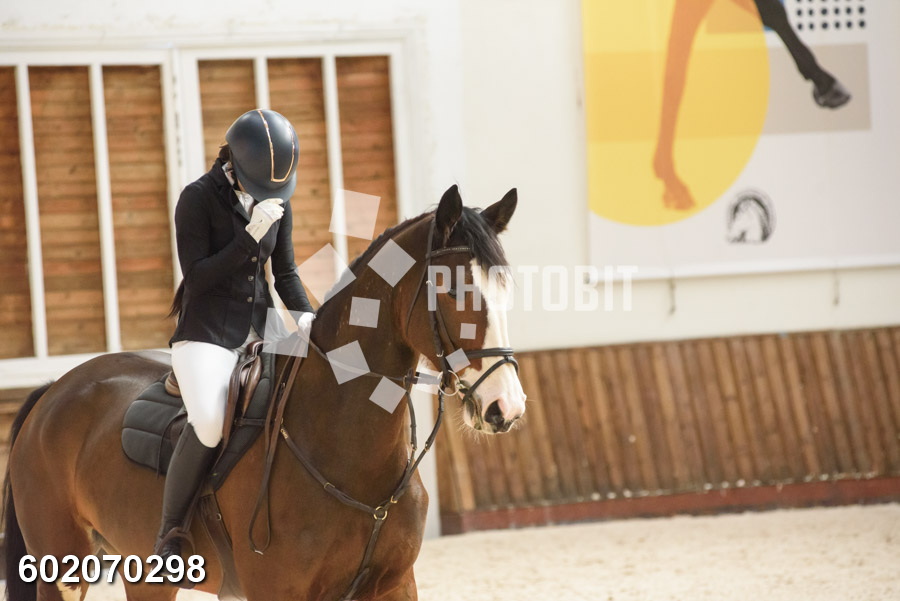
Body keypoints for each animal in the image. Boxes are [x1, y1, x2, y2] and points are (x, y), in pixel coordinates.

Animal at [3, 184, 526, 601]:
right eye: (452, 290)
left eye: (505, 289)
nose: (507, 408)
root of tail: (54, 391)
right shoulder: (278, 589)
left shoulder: (396, 585)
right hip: (61, 567)